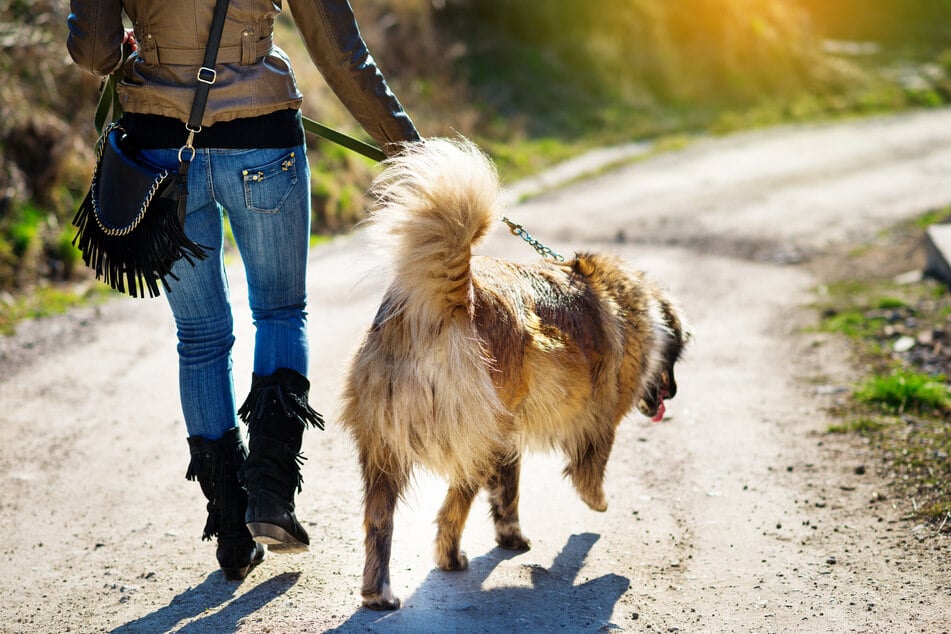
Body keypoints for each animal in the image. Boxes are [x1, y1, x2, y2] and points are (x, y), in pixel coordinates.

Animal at [342, 137, 692, 608]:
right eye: (674, 359)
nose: (670, 394)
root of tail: (451, 304)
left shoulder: (509, 435)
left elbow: (507, 489)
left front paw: (510, 533)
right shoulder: (599, 418)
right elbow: (591, 463)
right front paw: (596, 500)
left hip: (385, 446)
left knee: (380, 520)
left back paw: (378, 593)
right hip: (473, 440)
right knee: (451, 510)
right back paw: (449, 558)